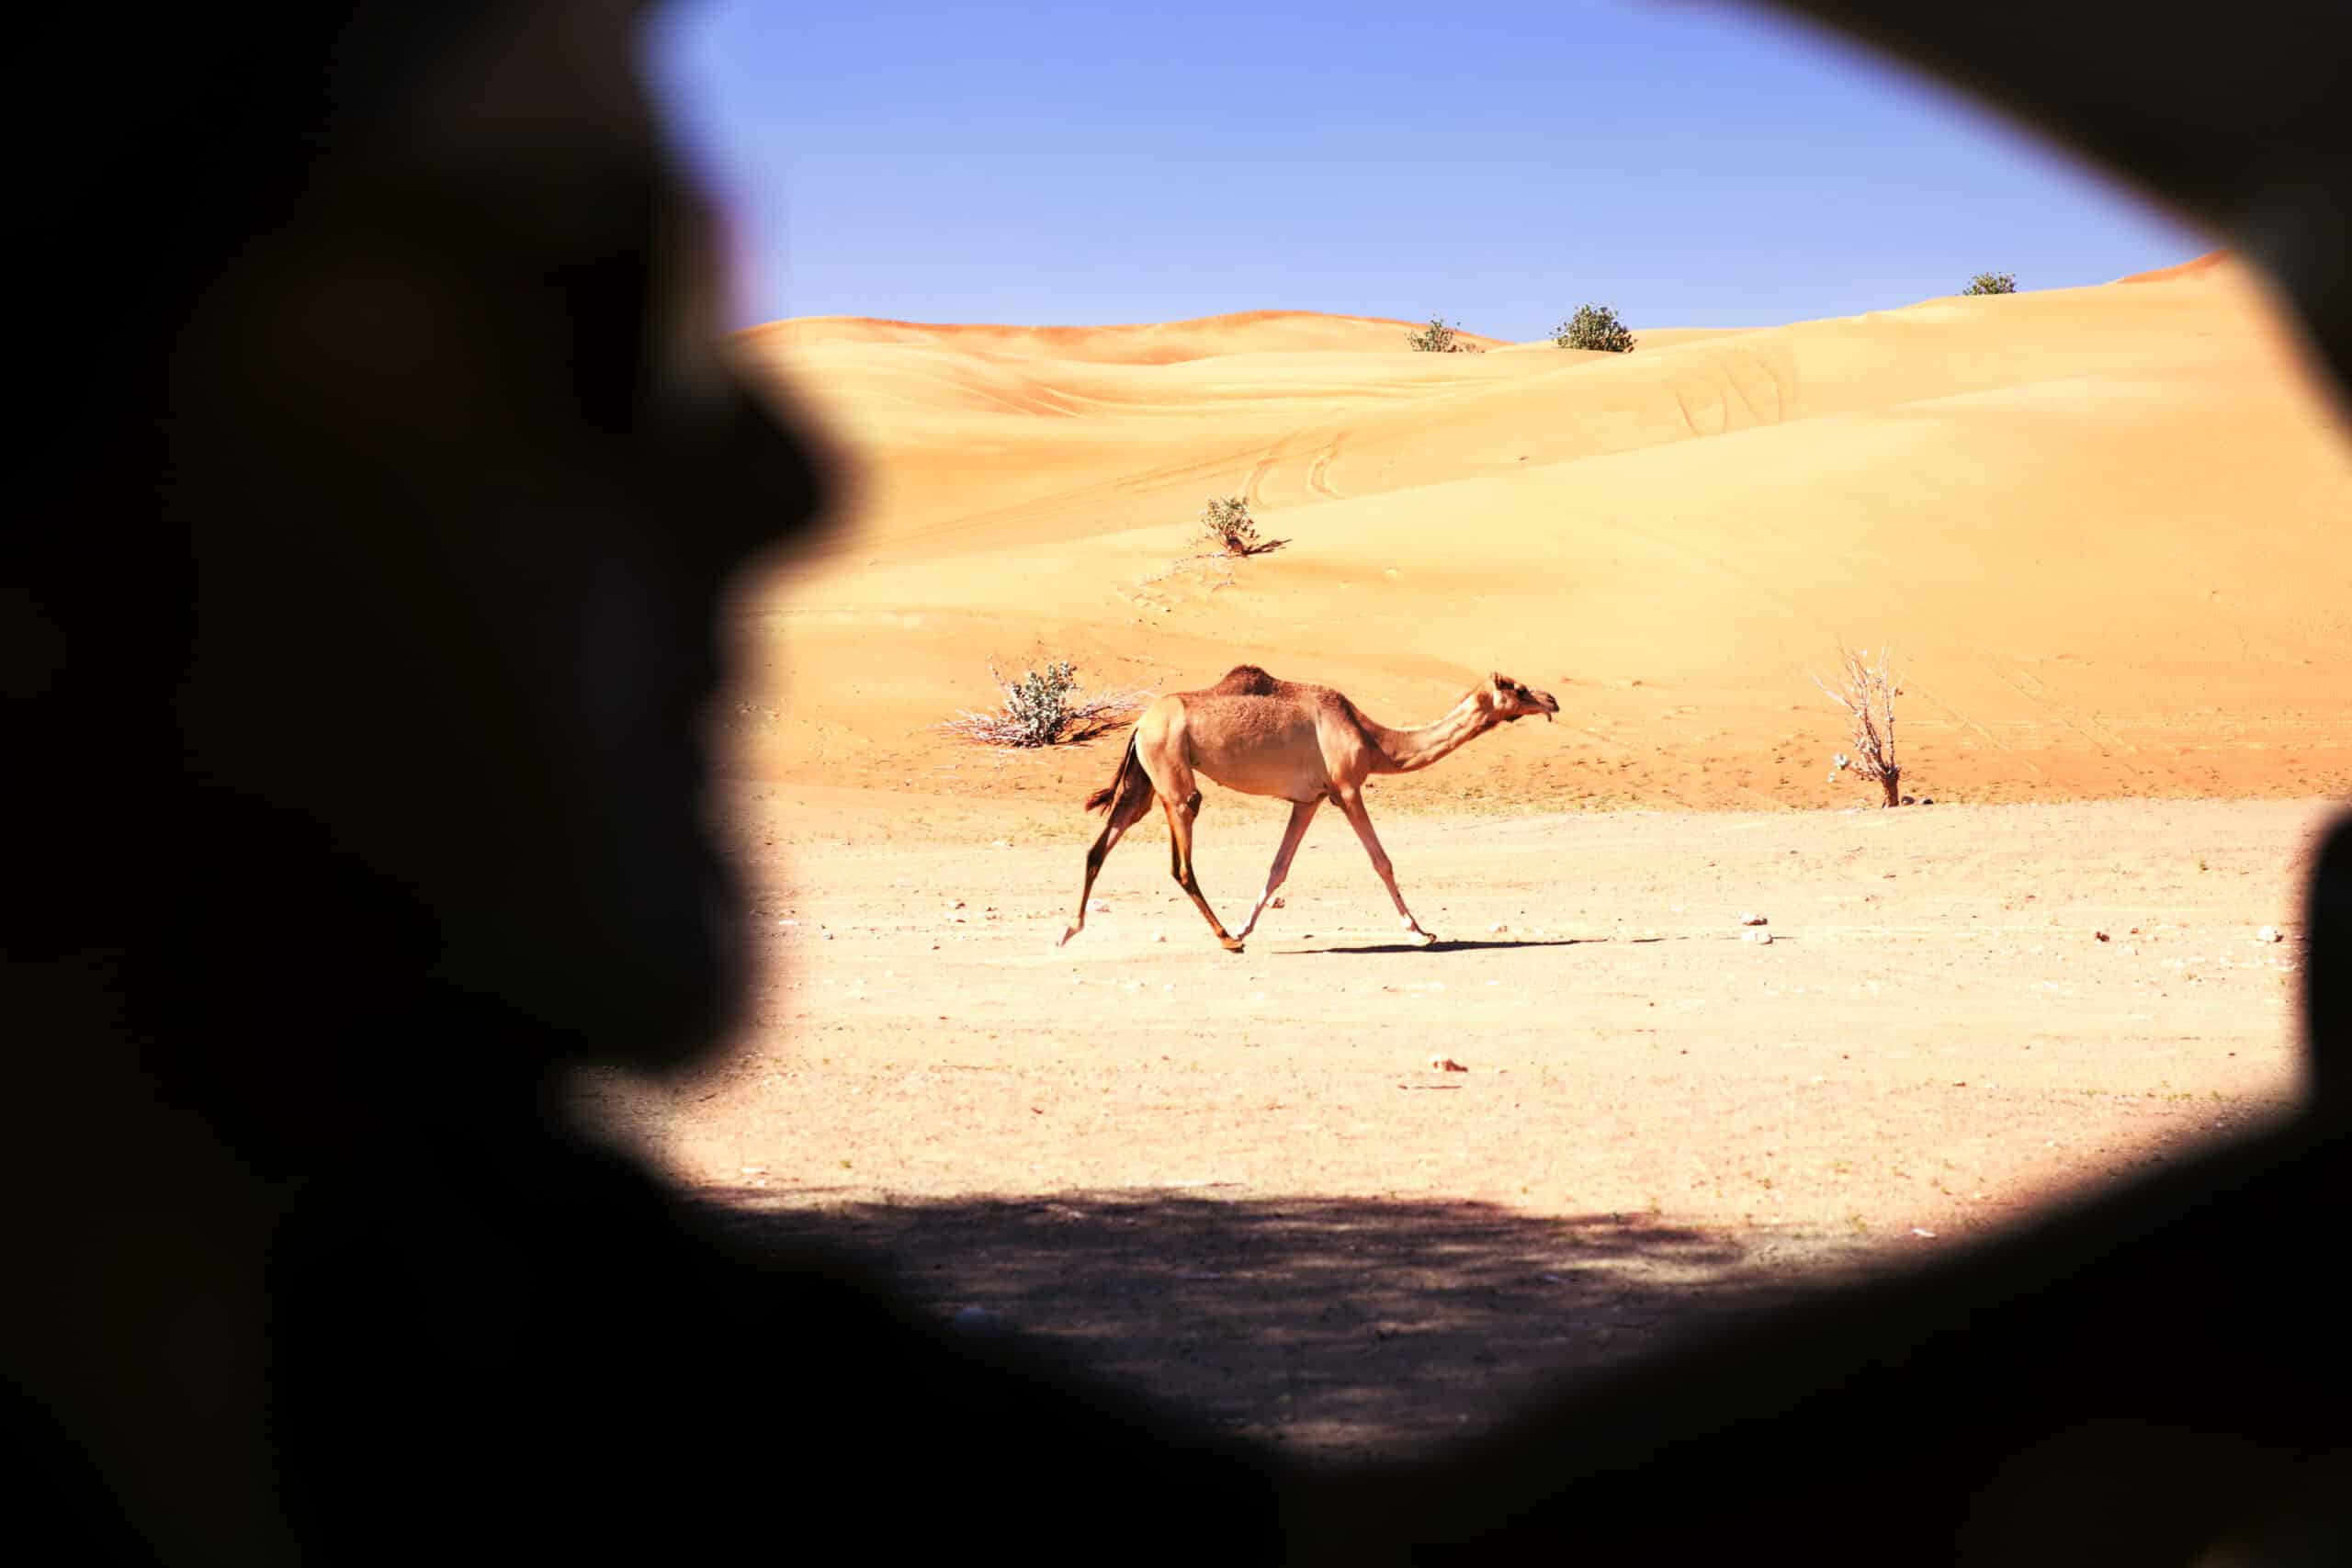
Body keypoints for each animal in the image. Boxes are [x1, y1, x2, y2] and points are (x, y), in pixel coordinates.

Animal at [1058, 667, 1552, 949]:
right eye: (1518, 688)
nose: (1552, 700)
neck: (1374, 741)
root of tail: (1139, 723)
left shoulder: (1308, 799)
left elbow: (1278, 868)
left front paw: (1247, 927)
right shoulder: (1347, 788)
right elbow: (1381, 860)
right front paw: (1420, 932)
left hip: (1142, 781)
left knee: (1100, 846)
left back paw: (1071, 929)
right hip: (1174, 777)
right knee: (1181, 862)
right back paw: (1224, 940)